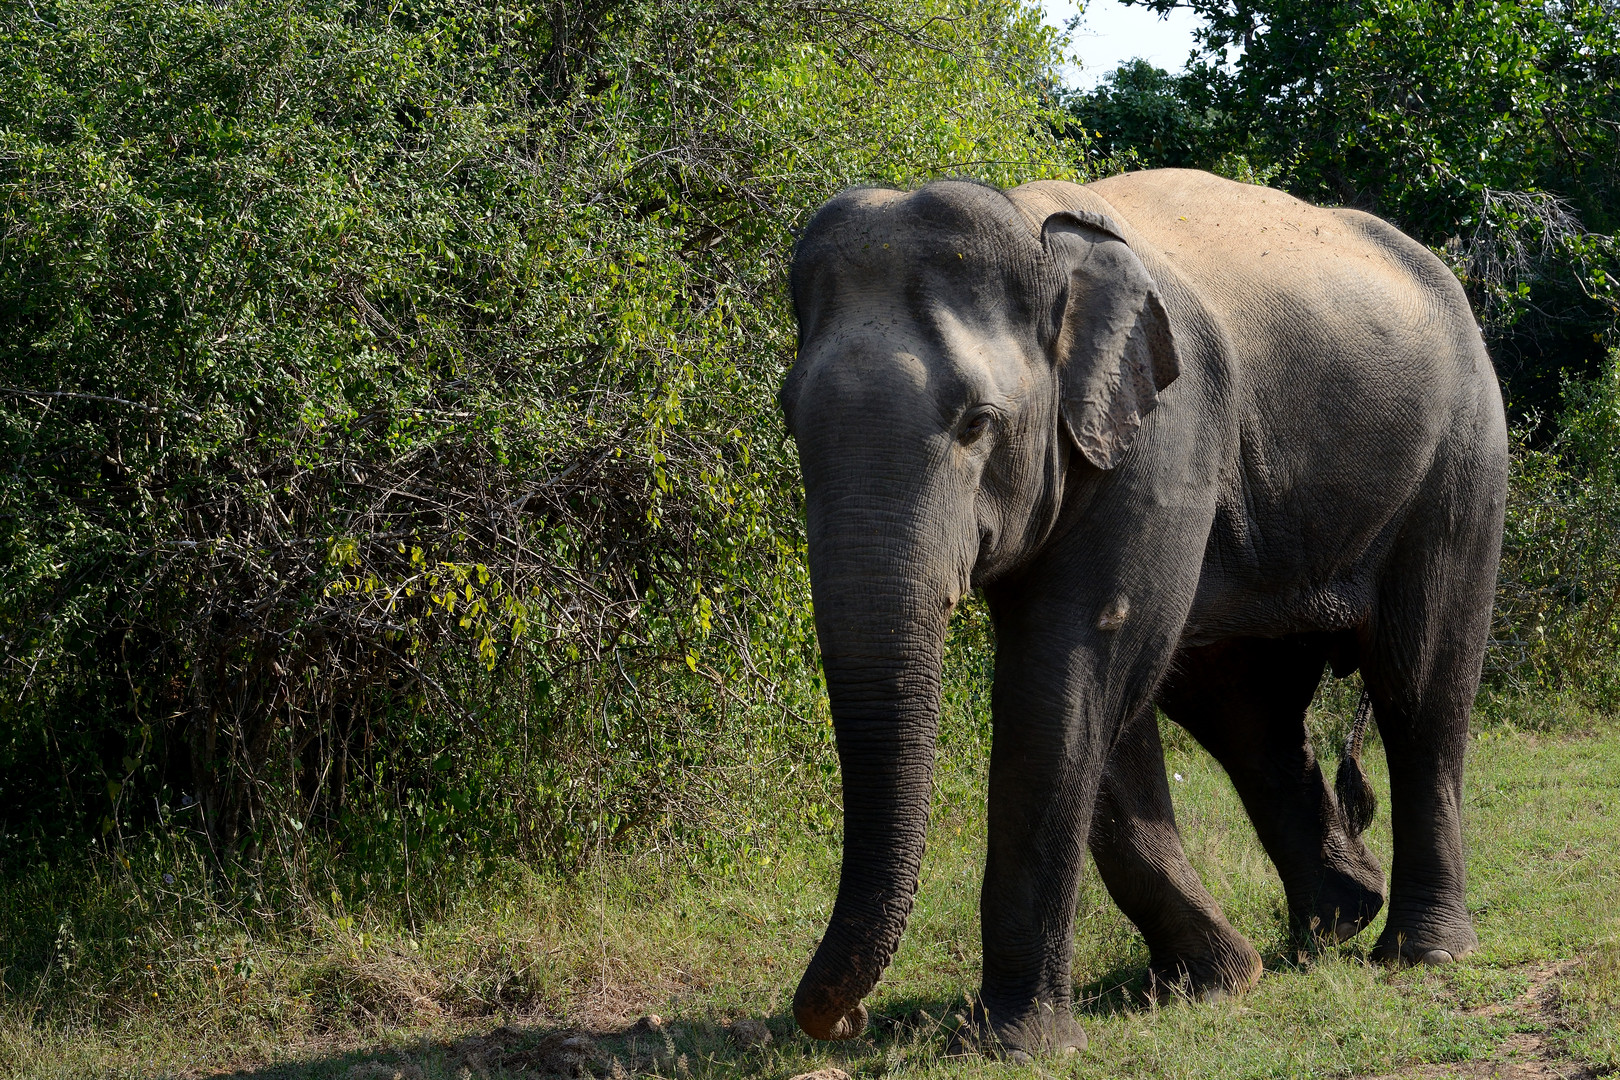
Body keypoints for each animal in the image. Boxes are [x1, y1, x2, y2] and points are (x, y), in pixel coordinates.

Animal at [777, 173, 1509, 1062]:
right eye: (788, 417)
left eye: (977, 423)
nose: (848, 1022)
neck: (1039, 239)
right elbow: (1096, 694)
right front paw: (1213, 979)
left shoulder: (1163, 438)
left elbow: (1069, 676)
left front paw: (1017, 1043)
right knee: (1243, 711)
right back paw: (1334, 922)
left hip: (1461, 461)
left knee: (1420, 687)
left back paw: (1420, 950)